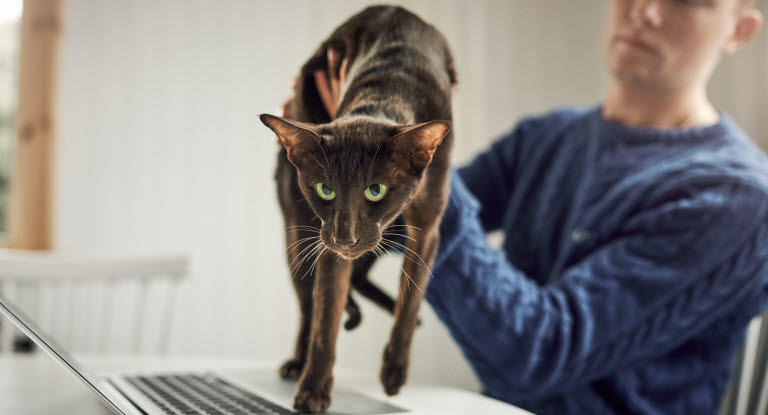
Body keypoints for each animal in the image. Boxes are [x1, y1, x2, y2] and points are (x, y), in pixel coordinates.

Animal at [260, 5, 452, 412]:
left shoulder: (428, 227)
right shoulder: (327, 246)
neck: (387, 91)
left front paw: (394, 372)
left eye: (375, 191)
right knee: (308, 305)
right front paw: (314, 391)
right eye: (325, 190)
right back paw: (296, 362)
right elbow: (325, 317)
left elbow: (412, 297)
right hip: (300, 237)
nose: (344, 237)